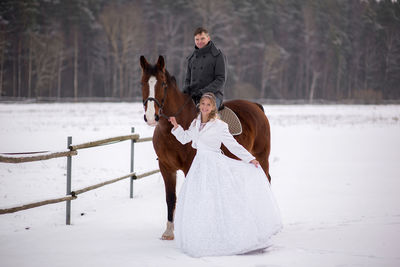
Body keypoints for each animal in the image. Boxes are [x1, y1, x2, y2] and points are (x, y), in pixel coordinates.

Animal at [139, 56, 270, 241]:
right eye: (142, 83)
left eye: (163, 84)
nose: (151, 117)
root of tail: (255, 106)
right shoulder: (166, 167)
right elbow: (170, 198)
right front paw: (169, 232)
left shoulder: (190, 167)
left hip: (262, 156)